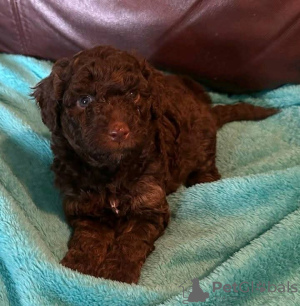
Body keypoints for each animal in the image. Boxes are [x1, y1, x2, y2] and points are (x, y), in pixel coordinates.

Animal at [33, 44, 276, 282]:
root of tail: (207, 109)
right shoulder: (84, 206)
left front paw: (117, 272)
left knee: (206, 162)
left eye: (133, 94)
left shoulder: (149, 204)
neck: (113, 171)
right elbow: (90, 236)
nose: (119, 132)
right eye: (84, 100)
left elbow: (132, 240)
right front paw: (79, 265)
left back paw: (205, 180)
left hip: (201, 139)